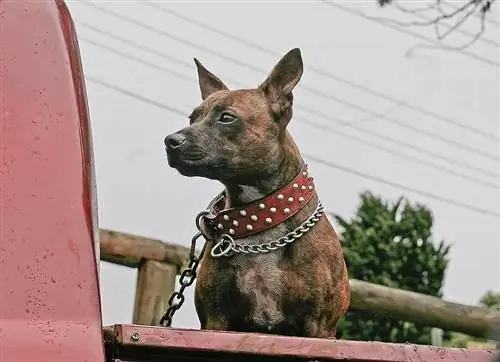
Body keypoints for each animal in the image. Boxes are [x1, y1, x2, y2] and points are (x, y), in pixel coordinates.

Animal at [164, 48, 348, 340]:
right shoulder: (216, 319)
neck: (260, 217)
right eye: (192, 118)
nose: (170, 141)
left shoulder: (320, 327)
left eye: (227, 117)